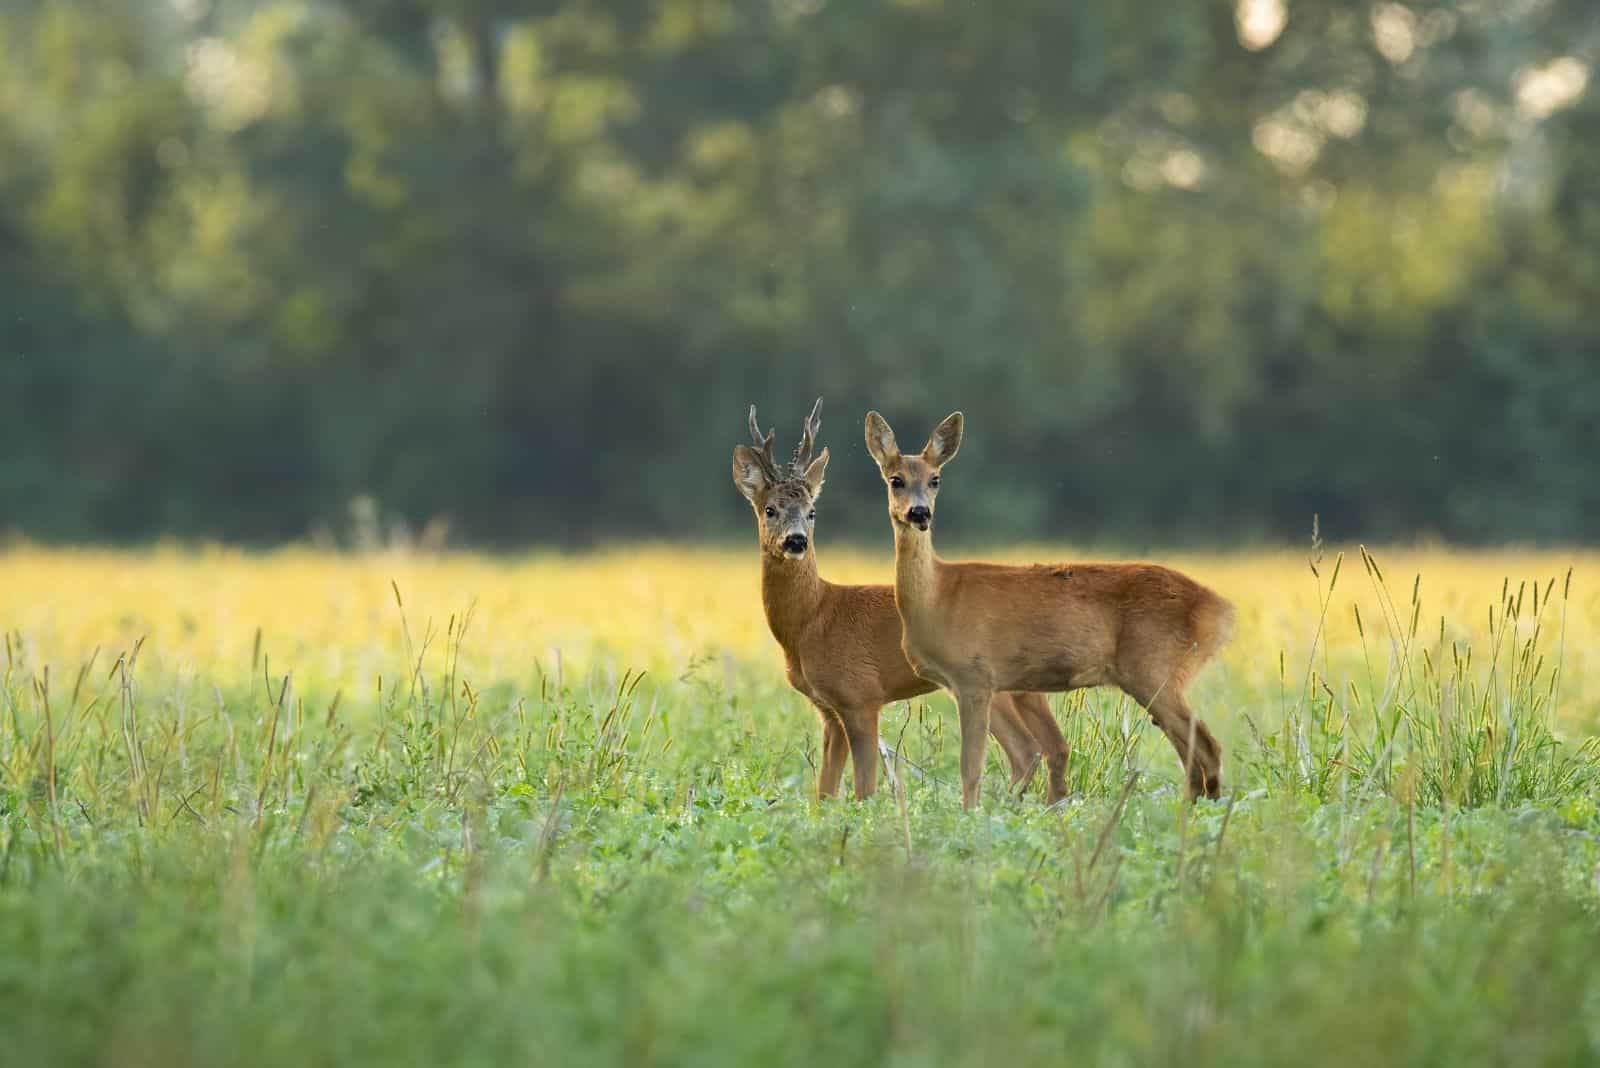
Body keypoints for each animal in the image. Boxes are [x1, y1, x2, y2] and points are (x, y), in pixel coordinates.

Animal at [732, 399, 1068, 799]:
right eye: (770, 509)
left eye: (812, 511)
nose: (796, 540)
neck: (813, 619)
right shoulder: (828, 709)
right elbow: (824, 793)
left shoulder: (860, 695)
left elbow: (863, 789)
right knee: (1044, 747)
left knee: (1026, 749)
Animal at [870, 412, 1228, 808]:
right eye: (896, 480)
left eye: (936, 479)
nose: (920, 513)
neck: (937, 596)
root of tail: (1219, 608)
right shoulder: (974, 683)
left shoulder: (974, 676)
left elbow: (971, 767)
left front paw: (971, 813)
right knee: (1191, 752)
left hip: (1155, 668)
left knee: (1208, 746)